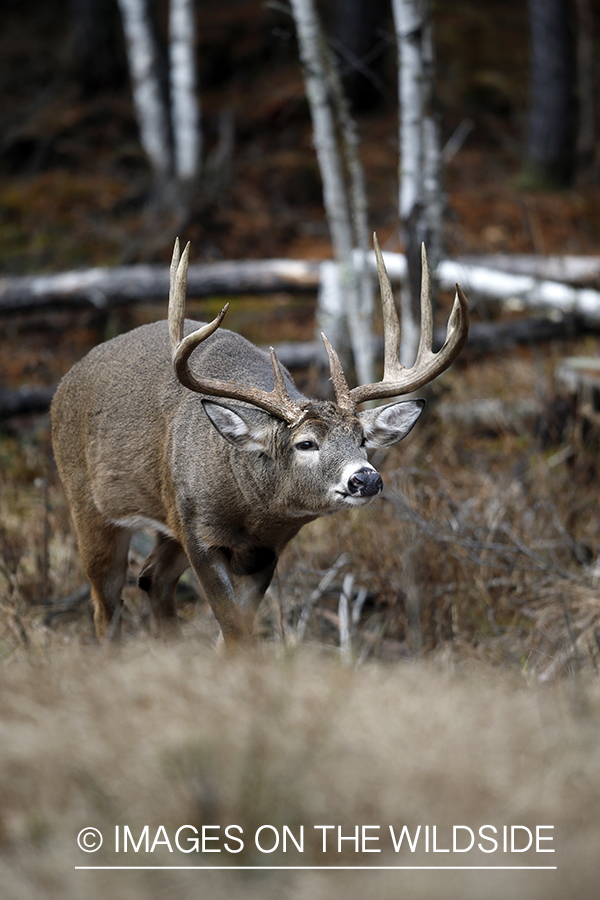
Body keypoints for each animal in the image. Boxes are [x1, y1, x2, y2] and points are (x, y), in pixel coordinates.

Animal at [51, 239, 468, 648]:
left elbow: (241, 631)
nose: (366, 479)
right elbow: (235, 633)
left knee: (153, 578)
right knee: (106, 607)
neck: (250, 511)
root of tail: (64, 384)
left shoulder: (267, 551)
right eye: (305, 444)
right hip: (89, 507)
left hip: (166, 525)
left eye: (362, 439)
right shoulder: (198, 533)